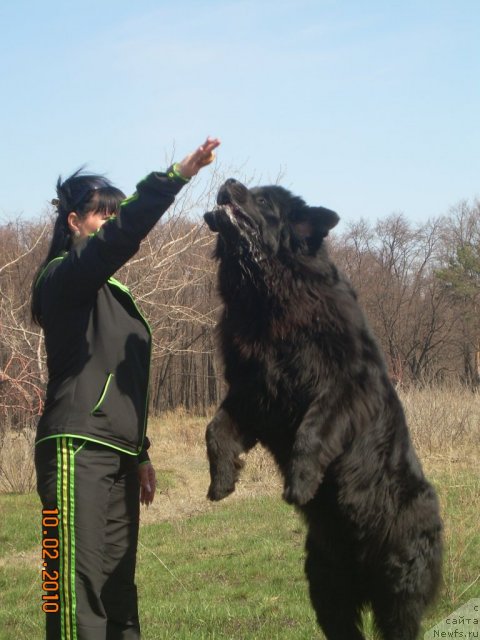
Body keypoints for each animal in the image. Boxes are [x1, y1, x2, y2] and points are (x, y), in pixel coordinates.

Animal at [202, 180, 442, 640]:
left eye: (262, 200)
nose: (227, 183)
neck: (266, 295)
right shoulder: (251, 394)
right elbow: (215, 430)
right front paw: (221, 483)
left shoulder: (343, 387)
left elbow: (311, 431)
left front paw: (300, 484)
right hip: (325, 582)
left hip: (399, 578)